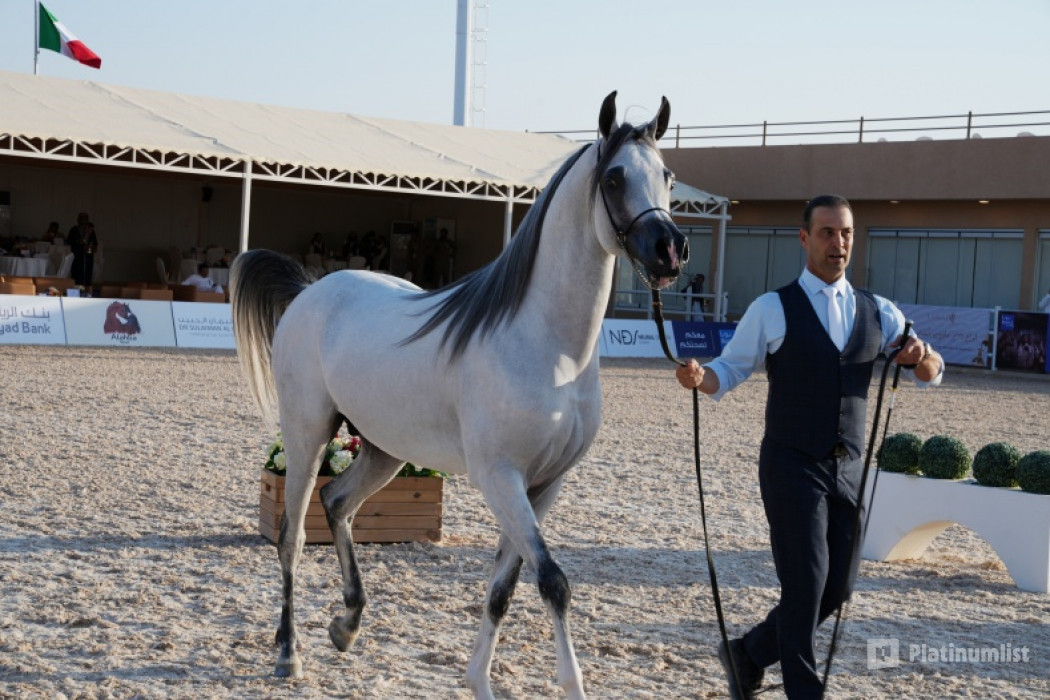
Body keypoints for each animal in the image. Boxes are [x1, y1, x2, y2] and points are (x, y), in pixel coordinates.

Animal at [230, 91, 688, 698]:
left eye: (667, 175)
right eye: (614, 179)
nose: (669, 251)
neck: (545, 345)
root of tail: (311, 291)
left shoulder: (545, 484)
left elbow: (504, 587)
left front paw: (479, 681)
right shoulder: (500, 478)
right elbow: (553, 581)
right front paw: (569, 683)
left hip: (385, 449)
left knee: (338, 504)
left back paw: (346, 625)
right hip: (306, 434)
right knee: (291, 537)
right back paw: (288, 653)